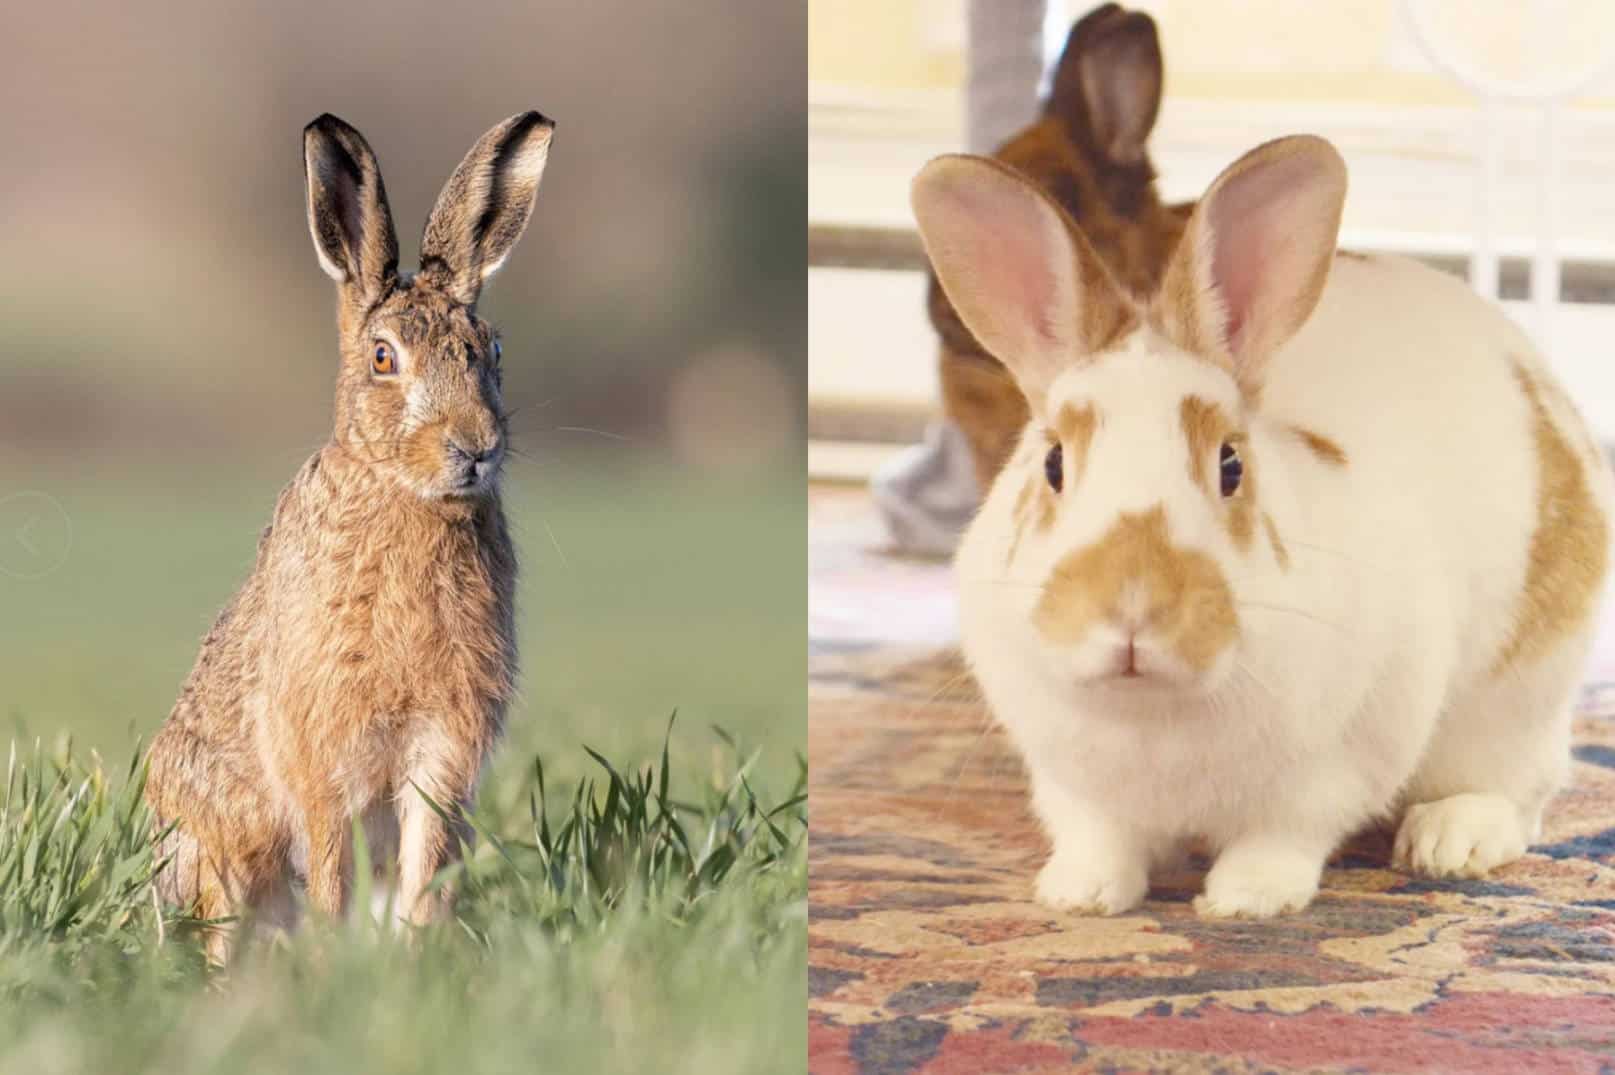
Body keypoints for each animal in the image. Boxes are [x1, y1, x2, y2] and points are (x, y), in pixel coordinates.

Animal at [146, 110, 562, 955]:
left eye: (494, 351)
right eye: (382, 358)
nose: (475, 445)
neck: (406, 494)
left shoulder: (441, 751)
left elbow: (425, 867)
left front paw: (416, 955)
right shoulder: (324, 753)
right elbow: (333, 869)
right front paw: (337, 962)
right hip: (216, 852)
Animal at [917, 138, 1608, 916]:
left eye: (1230, 464)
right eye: (1053, 462)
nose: (1133, 609)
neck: (1152, 713)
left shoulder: (1332, 768)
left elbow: (1285, 836)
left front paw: (1245, 900)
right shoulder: (1070, 781)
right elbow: (1099, 836)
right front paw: (1082, 895)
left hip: (1518, 699)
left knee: (1523, 790)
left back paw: (1449, 840)